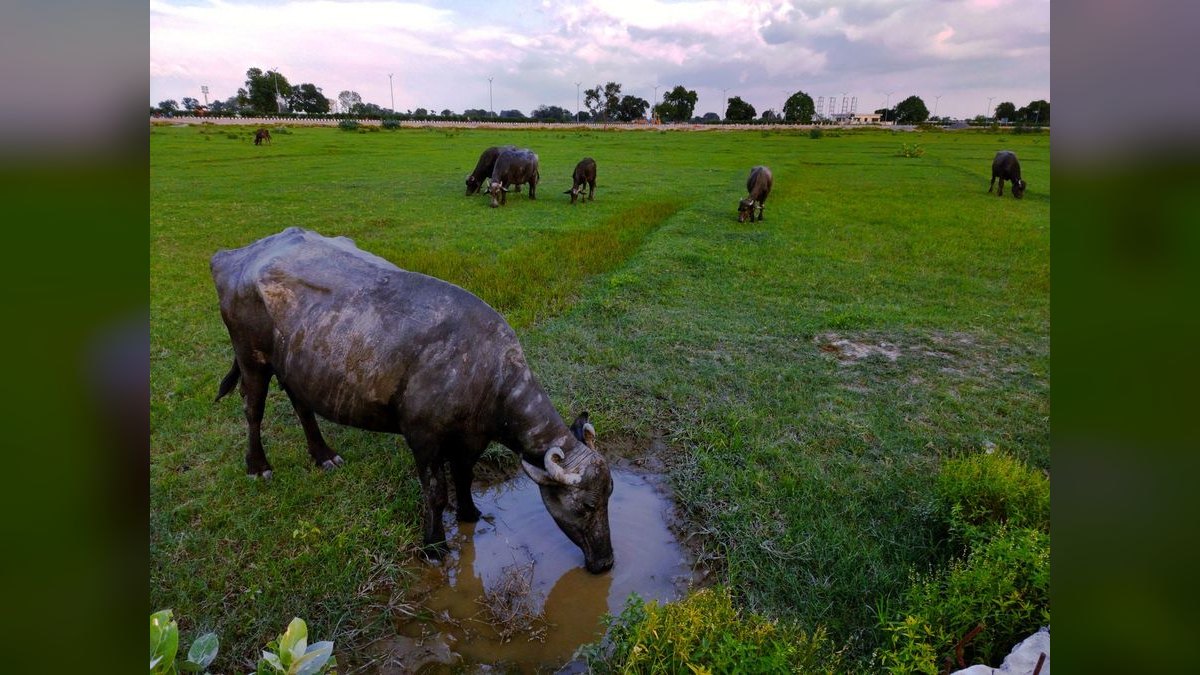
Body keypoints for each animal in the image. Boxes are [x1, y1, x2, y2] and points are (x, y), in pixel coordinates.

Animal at [211, 228, 614, 573]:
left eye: (610, 494)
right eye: (587, 505)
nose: (606, 561)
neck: (485, 372)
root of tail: (233, 256)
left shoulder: (472, 439)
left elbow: (464, 475)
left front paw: (470, 513)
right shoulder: (423, 438)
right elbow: (435, 493)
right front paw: (434, 546)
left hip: (295, 366)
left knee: (301, 404)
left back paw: (323, 455)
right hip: (251, 357)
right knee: (253, 408)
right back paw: (258, 465)